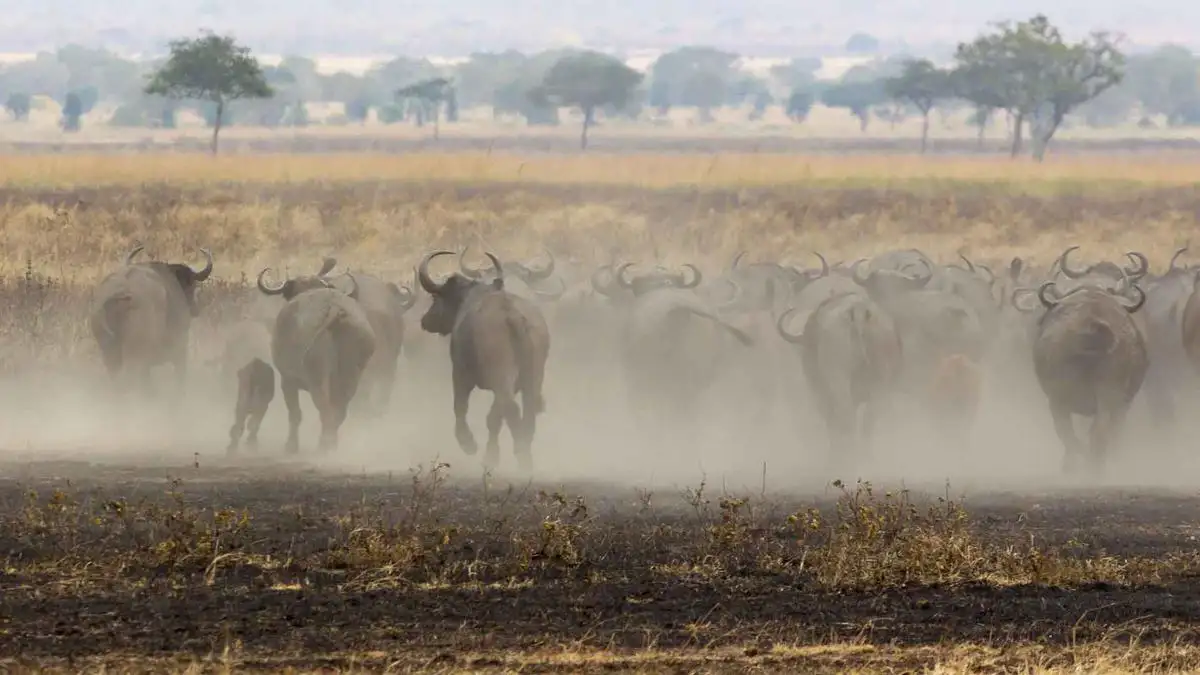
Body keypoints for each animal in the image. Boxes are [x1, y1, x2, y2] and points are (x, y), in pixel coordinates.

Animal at [88, 243, 216, 396]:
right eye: (191, 285)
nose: (196, 309)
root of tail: (120, 292)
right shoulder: (180, 350)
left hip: (109, 353)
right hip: (133, 355)